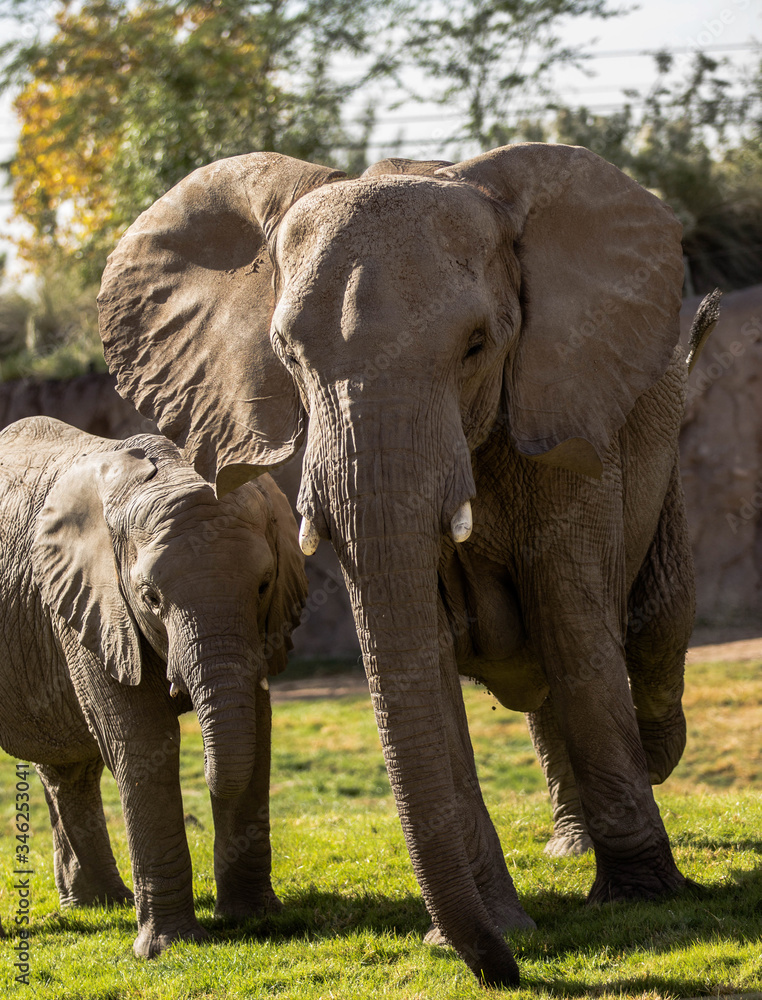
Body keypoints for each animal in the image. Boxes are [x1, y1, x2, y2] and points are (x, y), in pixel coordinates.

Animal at [0, 415, 306, 958]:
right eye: (151, 598)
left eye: (264, 586)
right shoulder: (91, 605)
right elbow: (142, 741)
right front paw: (168, 947)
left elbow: (258, 726)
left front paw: (254, 919)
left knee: (68, 770)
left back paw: (100, 905)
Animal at [98, 142, 707, 986]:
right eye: (287, 356)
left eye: (478, 346)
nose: (509, 974)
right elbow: (427, 660)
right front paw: (490, 929)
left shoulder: (565, 418)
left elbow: (575, 632)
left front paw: (642, 897)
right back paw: (569, 843)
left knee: (649, 632)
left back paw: (649, 763)